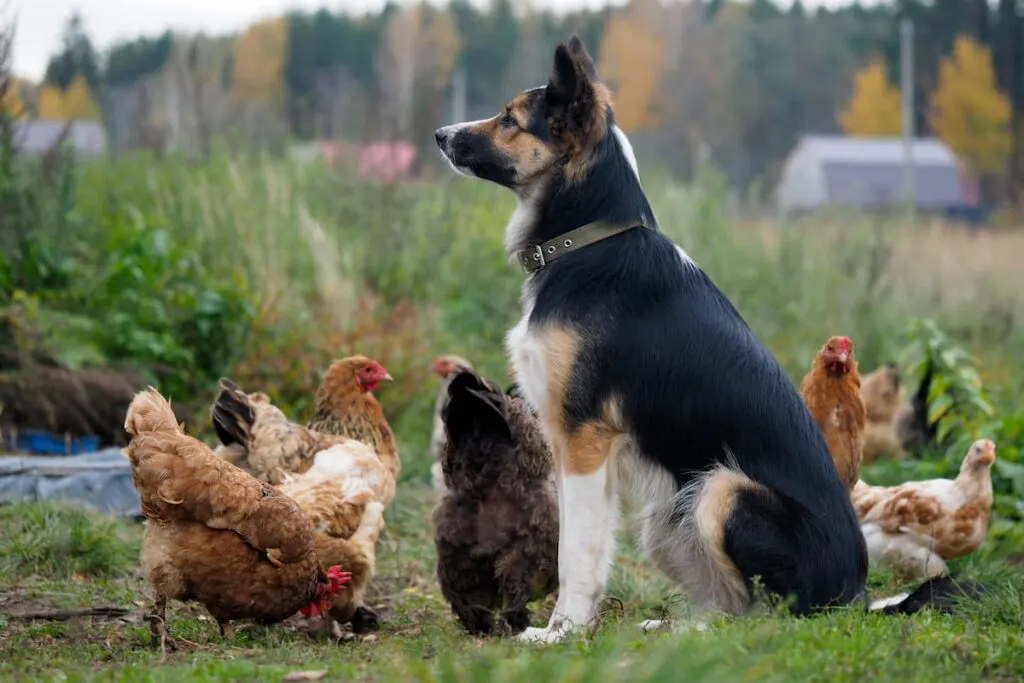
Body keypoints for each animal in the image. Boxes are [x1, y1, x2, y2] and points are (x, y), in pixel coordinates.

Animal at [432, 36, 872, 647]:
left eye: (510, 119)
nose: (439, 135)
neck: (586, 241)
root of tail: (856, 595)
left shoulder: (584, 438)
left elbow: (575, 552)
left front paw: (560, 632)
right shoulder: (574, 448)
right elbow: (584, 545)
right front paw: (577, 625)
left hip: (719, 491)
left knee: (772, 616)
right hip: (669, 515)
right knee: (734, 606)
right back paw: (675, 626)